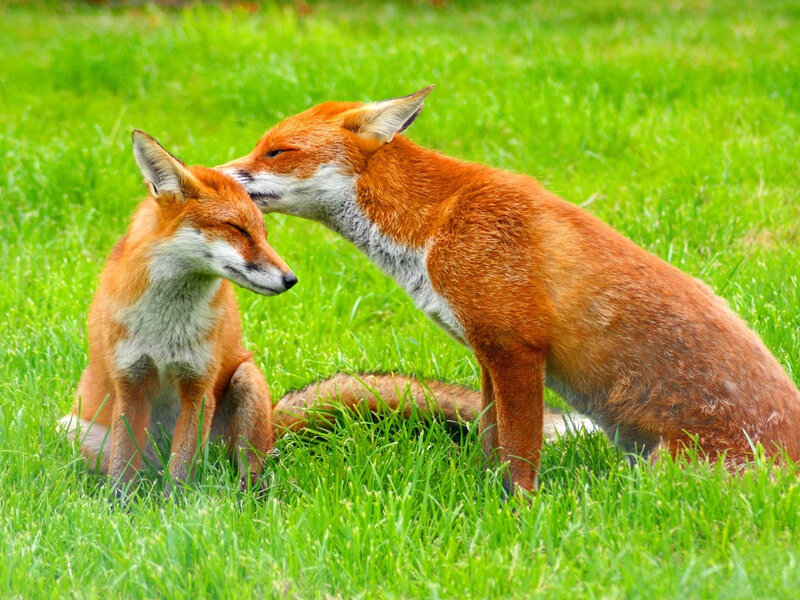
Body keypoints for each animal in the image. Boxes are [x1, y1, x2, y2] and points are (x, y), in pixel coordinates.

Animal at [219, 85, 800, 492]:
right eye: (260, 148)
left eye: (276, 152)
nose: (215, 173)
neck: (434, 227)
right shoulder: (487, 352)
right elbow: (489, 439)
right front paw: (484, 499)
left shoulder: (518, 349)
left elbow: (520, 452)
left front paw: (519, 510)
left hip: (661, 469)